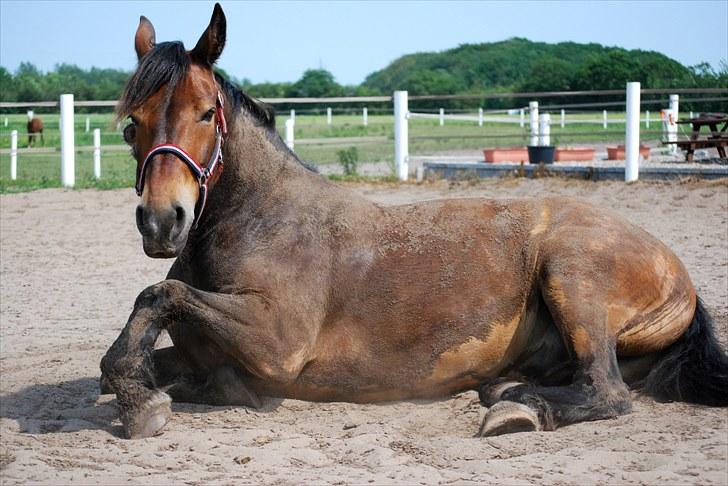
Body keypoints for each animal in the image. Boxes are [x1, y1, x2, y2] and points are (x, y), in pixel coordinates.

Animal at [99, 3, 724, 438]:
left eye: (208, 113)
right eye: (132, 122)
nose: (162, 221)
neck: (263, 222)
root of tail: (678, 275)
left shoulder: (275, 342)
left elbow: (160, 295)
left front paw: (143, 404)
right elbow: (125, 353)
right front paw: (138, 389)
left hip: (571, 273)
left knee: (607, 391)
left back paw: (518, 410)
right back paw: (505, 388)